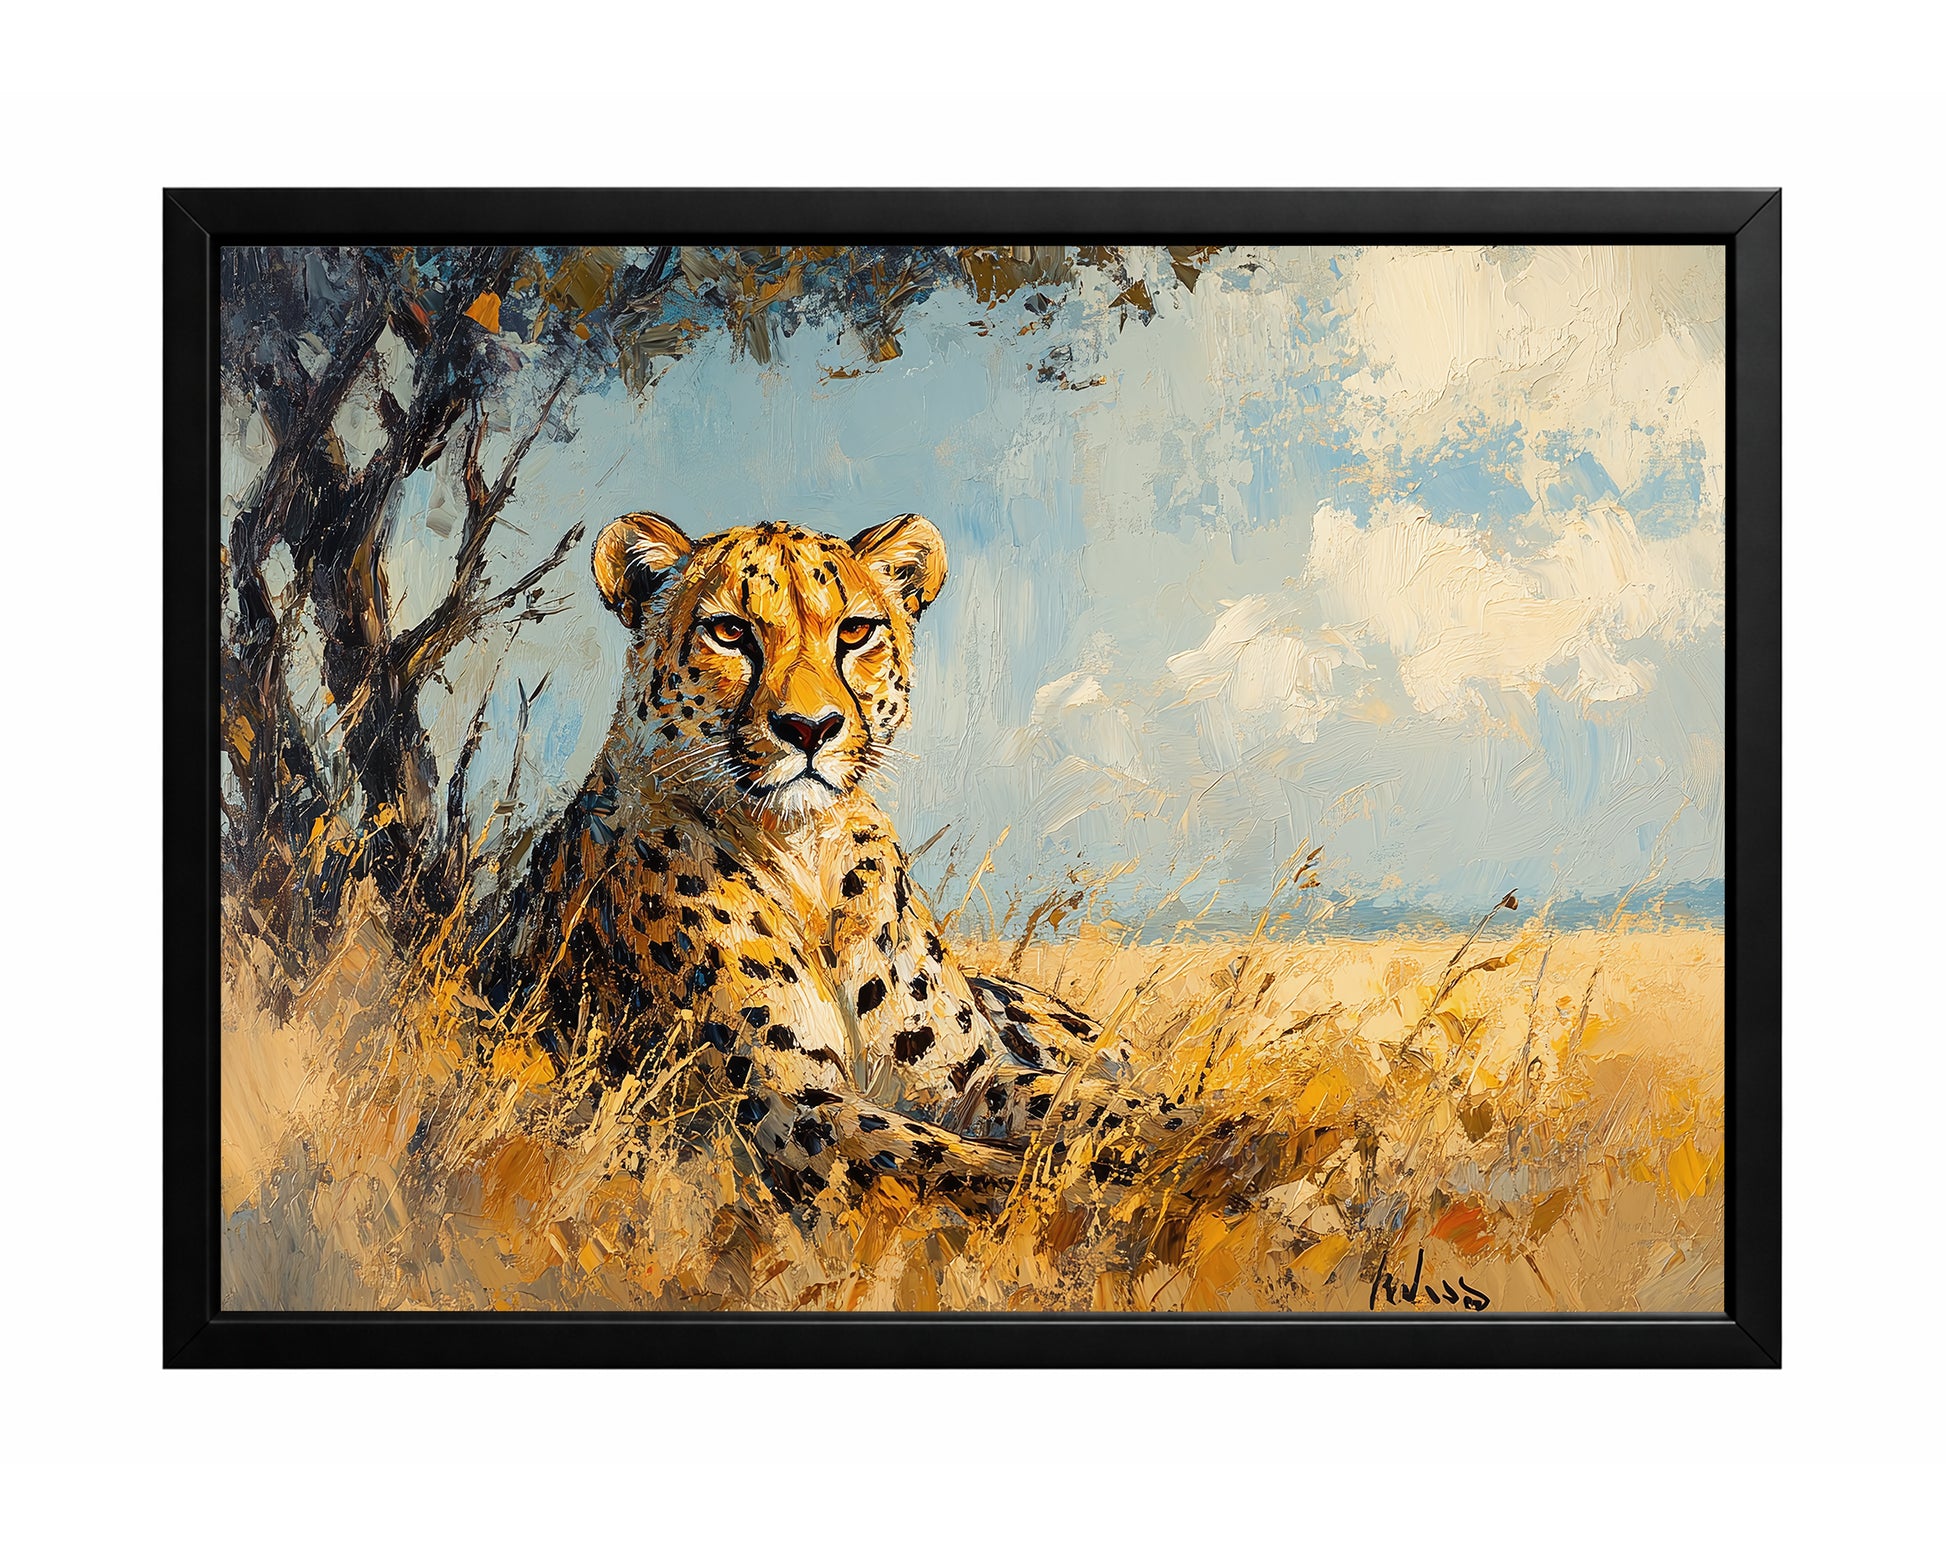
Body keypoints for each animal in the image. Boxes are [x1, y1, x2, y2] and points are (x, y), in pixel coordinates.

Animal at [476, 509, 1183, 1211]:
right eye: (729, 632)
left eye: (855, 632)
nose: (810, 729)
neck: (804, 852)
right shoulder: (784, 1105)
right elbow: (937, 1157)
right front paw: (1067, 1185)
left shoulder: (963, 1076)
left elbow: (1084, 1100)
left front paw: (1186, 1138)